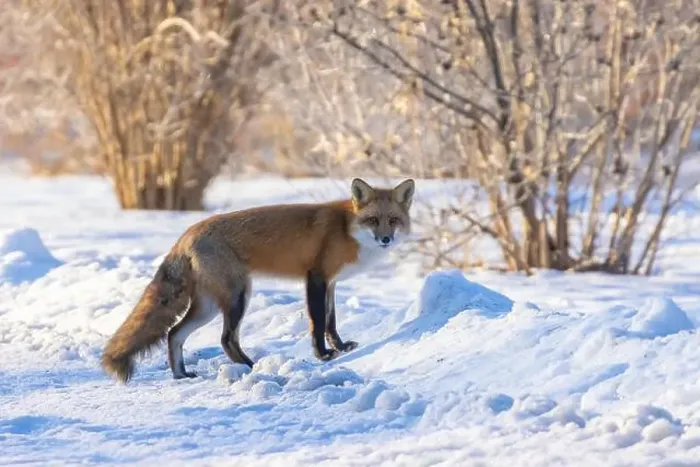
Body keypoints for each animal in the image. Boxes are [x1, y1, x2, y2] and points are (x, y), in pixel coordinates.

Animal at [101, 177, 415, 383]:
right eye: (373, 220)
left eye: (393, 220)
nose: (386, 239)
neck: (346, 228)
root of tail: (188, 232)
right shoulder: (316, 277)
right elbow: (317, 322)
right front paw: (323, 355)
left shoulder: (332, 283)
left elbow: (331, 321)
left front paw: (339, 348)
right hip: (238, 295)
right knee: (226, 338)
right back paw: (252, 367)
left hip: (208, 306)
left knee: (174, 333)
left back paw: (181, 374)